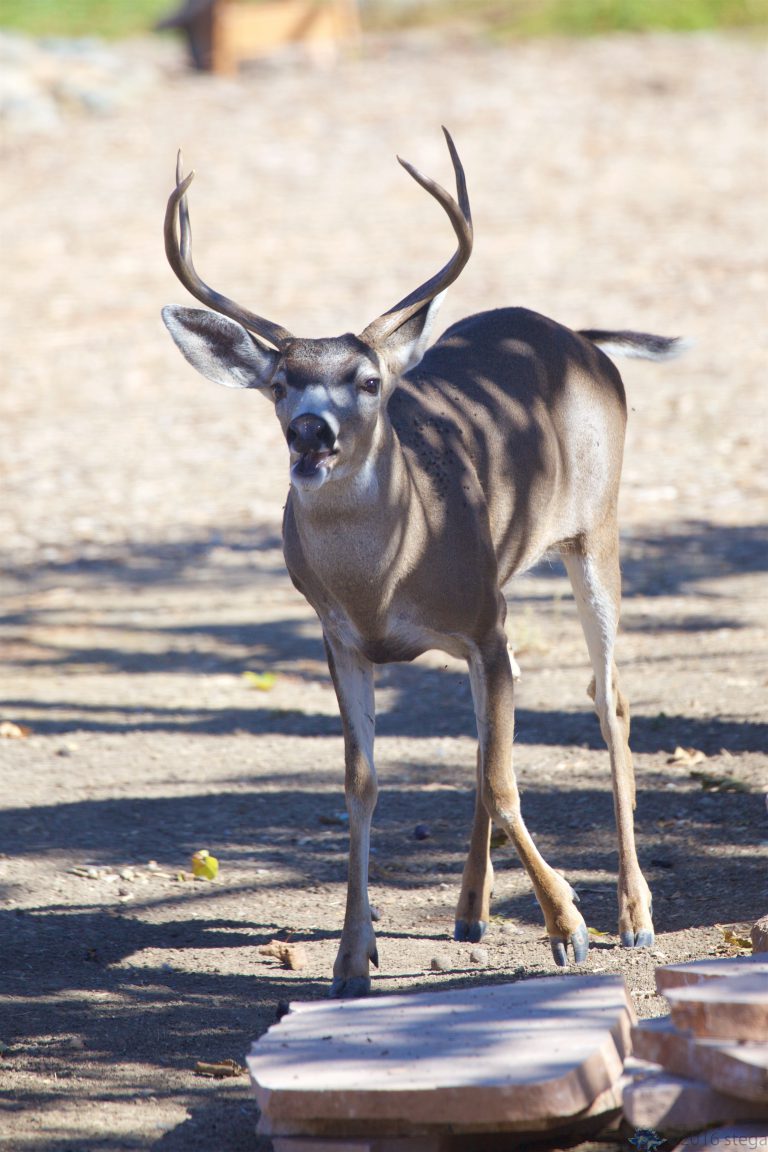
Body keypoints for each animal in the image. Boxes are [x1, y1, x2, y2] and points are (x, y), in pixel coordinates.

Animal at [162, 129, 681, 998]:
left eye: (368, 381)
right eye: (280, 383)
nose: (311, 433)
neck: (384, 578)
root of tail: (582, 339)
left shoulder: (481, 621)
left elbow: (503, 777)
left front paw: (568, 925)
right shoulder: (343, 639)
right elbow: (365, 784)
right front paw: (350, 958)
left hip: (594, 530)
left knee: (608, 697)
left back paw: (634, 915)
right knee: (494, 731)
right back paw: (470, 910)